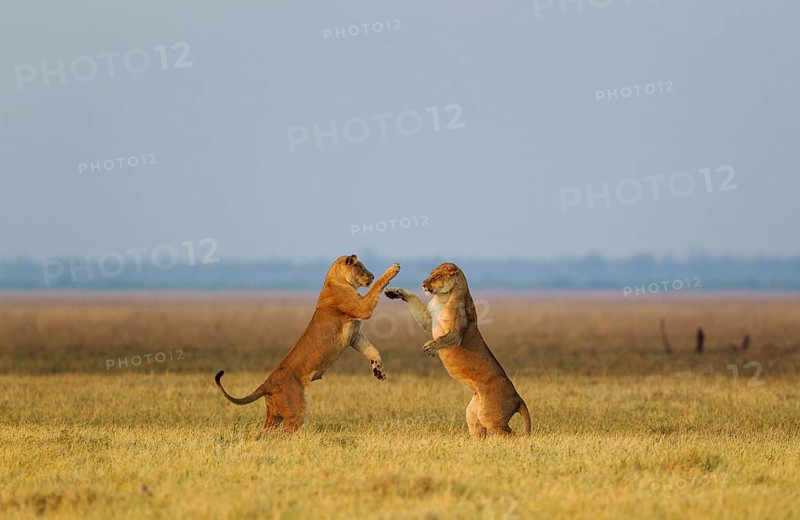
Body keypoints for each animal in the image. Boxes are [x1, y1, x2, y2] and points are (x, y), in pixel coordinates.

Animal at [215, 255, 400, 432]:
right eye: (360, 267)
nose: (372, 275)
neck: (335, 279)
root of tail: (267, 383)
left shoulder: (355, 335)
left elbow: (371, 350)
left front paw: (379, 371)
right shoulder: (362, 308)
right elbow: (377, 286)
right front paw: (393, 269)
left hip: (273, 415)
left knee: (264, 434)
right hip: (297, 409)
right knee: (284, 432)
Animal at [384, 263, 530, 437]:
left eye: (436, 275)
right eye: (431, 273)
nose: (423, 284)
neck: (443, 296)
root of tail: (518, 397)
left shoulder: (456, 331)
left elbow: (444, 339)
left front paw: (430, 347)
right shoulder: (428, 320)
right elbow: (413, 300)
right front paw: (394, 292)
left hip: (490, 416)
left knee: (512, 434)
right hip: (473, 413)